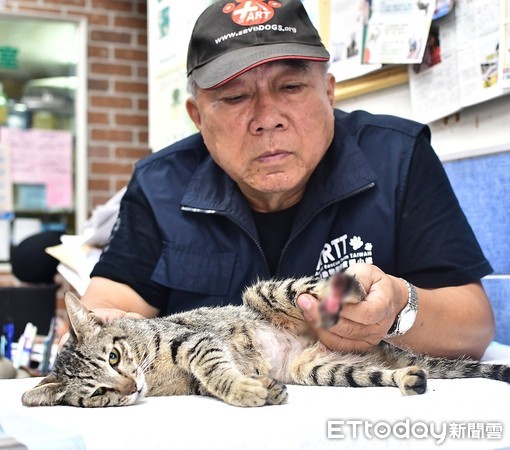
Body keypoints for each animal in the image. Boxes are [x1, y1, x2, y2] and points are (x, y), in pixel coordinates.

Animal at [21, 274, 508, 408]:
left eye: (115, 356)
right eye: (97, 394)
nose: (129, 387)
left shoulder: (194, 341)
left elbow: (216, 370)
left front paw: (243, 389)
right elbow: (213, 380)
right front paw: (261, 389)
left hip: (264, 292)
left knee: (308, 287)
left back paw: (350, 289)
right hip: (322, 369)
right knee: (386, 373)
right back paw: (410, 378)